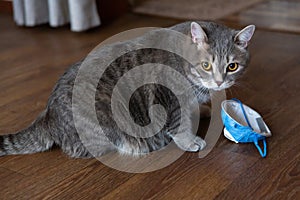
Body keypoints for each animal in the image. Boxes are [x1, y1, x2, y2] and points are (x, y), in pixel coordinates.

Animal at [0, 21, 254, 158]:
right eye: (206, 65)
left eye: (232, 66)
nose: (219, 82)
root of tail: (48, 116)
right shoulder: (167, 96)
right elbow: (179, 124)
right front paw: (189, 140)